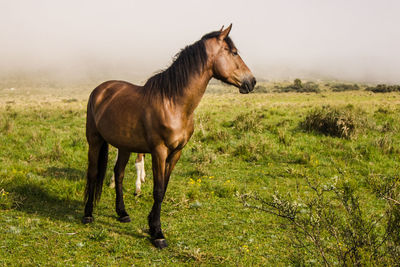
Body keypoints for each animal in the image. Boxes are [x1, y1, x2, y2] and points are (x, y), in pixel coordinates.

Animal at [82, 24, 255, 249]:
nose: (251, 81)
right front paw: (158, 234)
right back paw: (88, 215)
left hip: (124, 146)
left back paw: (122, 213)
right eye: (233, 52)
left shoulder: (176, 153)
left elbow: (163, 189)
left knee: (118, 174)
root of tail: (100, 90)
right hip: (95, 141)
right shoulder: (159, 151)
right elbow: (157, 190)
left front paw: (152, 225)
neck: (173, 103)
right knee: (94, 173)